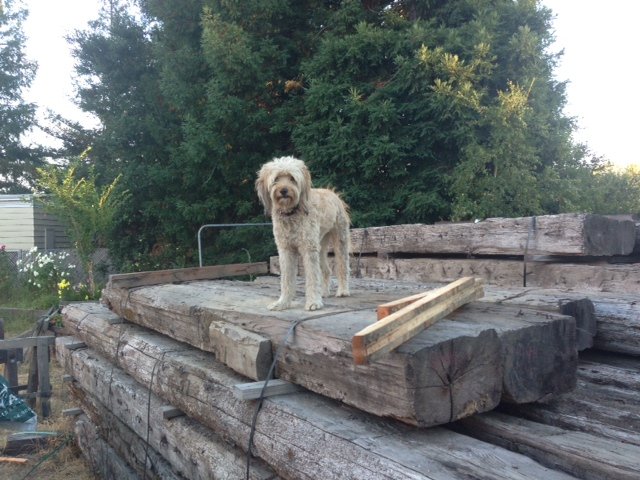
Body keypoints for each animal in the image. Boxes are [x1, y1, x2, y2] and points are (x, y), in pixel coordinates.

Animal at [255, 156, 350, 310]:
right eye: (276, 179)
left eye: (292, 178)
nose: (284, 190)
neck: (291, 213)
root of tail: (333, 193)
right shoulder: (285, 249)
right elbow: (286, 279)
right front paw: (282, 303)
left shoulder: (308, 248)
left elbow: (312, 276)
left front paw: (313, 302)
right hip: (320, 245)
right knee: (326, 270)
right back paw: (324, 292)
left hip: (340, 239)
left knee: (343, 266)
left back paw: (343, 291)